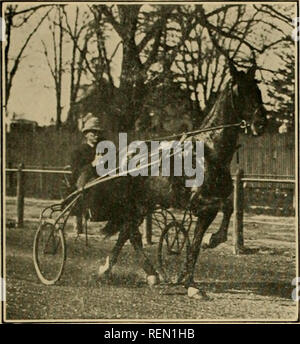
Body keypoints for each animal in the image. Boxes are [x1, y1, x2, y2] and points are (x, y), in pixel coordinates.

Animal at [83, 63, 266, 300]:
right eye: (241, 91)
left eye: (258, 90)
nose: (260, 123)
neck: (209, 151)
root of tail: (124, 155)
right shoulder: (198, 203)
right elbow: (207, 227)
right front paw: (193, 278)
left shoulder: (208, 207)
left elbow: (222, 214)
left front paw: (206, 251)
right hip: (133, 204)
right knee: (131, 233)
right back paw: (131, 271)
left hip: (144, 204)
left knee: (127, 233)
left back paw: (129, 272)